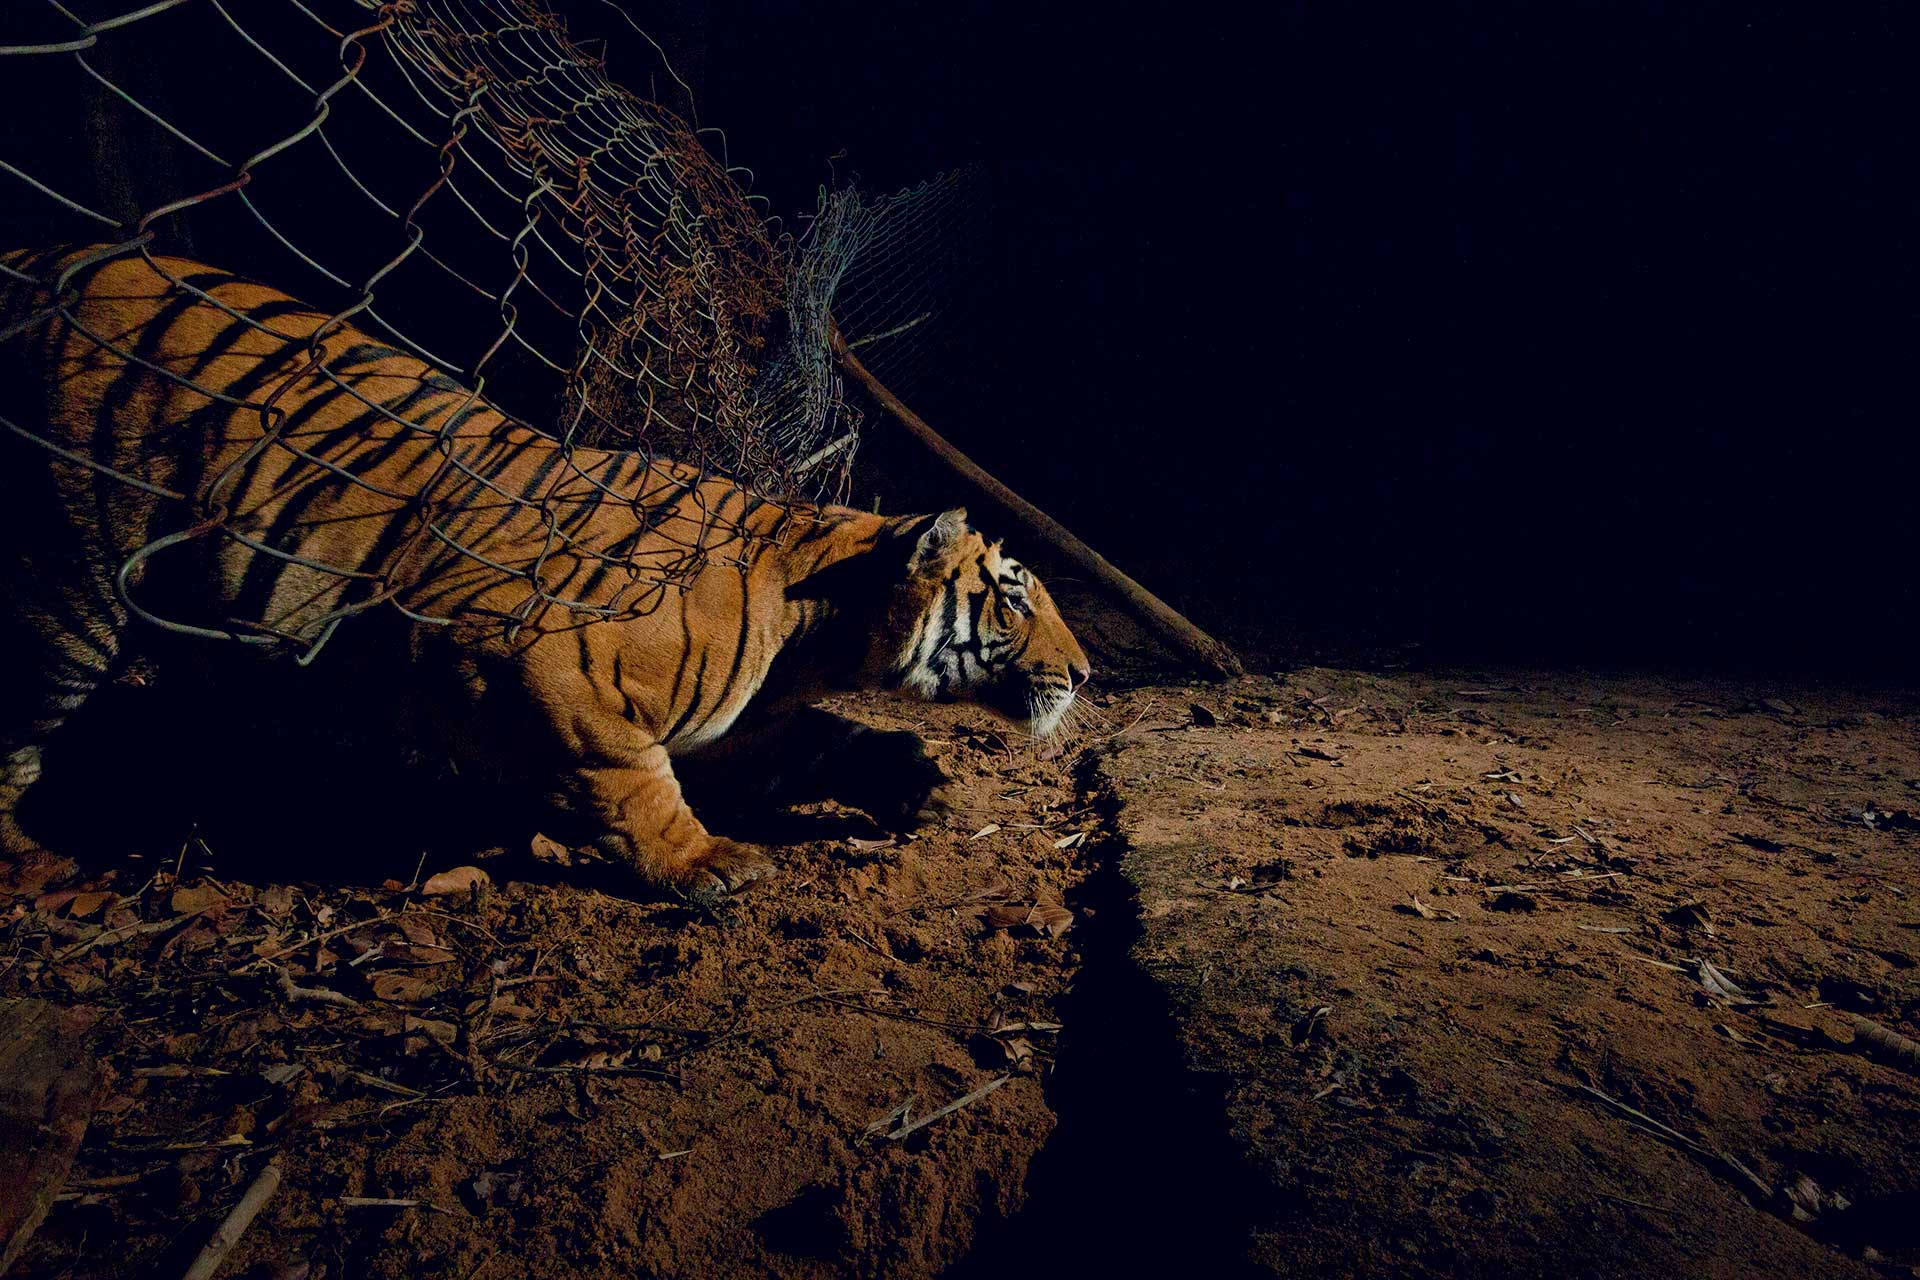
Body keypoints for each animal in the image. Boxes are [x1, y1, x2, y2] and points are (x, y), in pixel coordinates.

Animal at [0, 247, 1090, 900]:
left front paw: (915, 780)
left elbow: (829, 739)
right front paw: (705, 860)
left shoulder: (745, 722)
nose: (1083, 675)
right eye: (1013, 594)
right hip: (69, 582)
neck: (812, 627)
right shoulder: (534, 663)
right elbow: (631, 777)